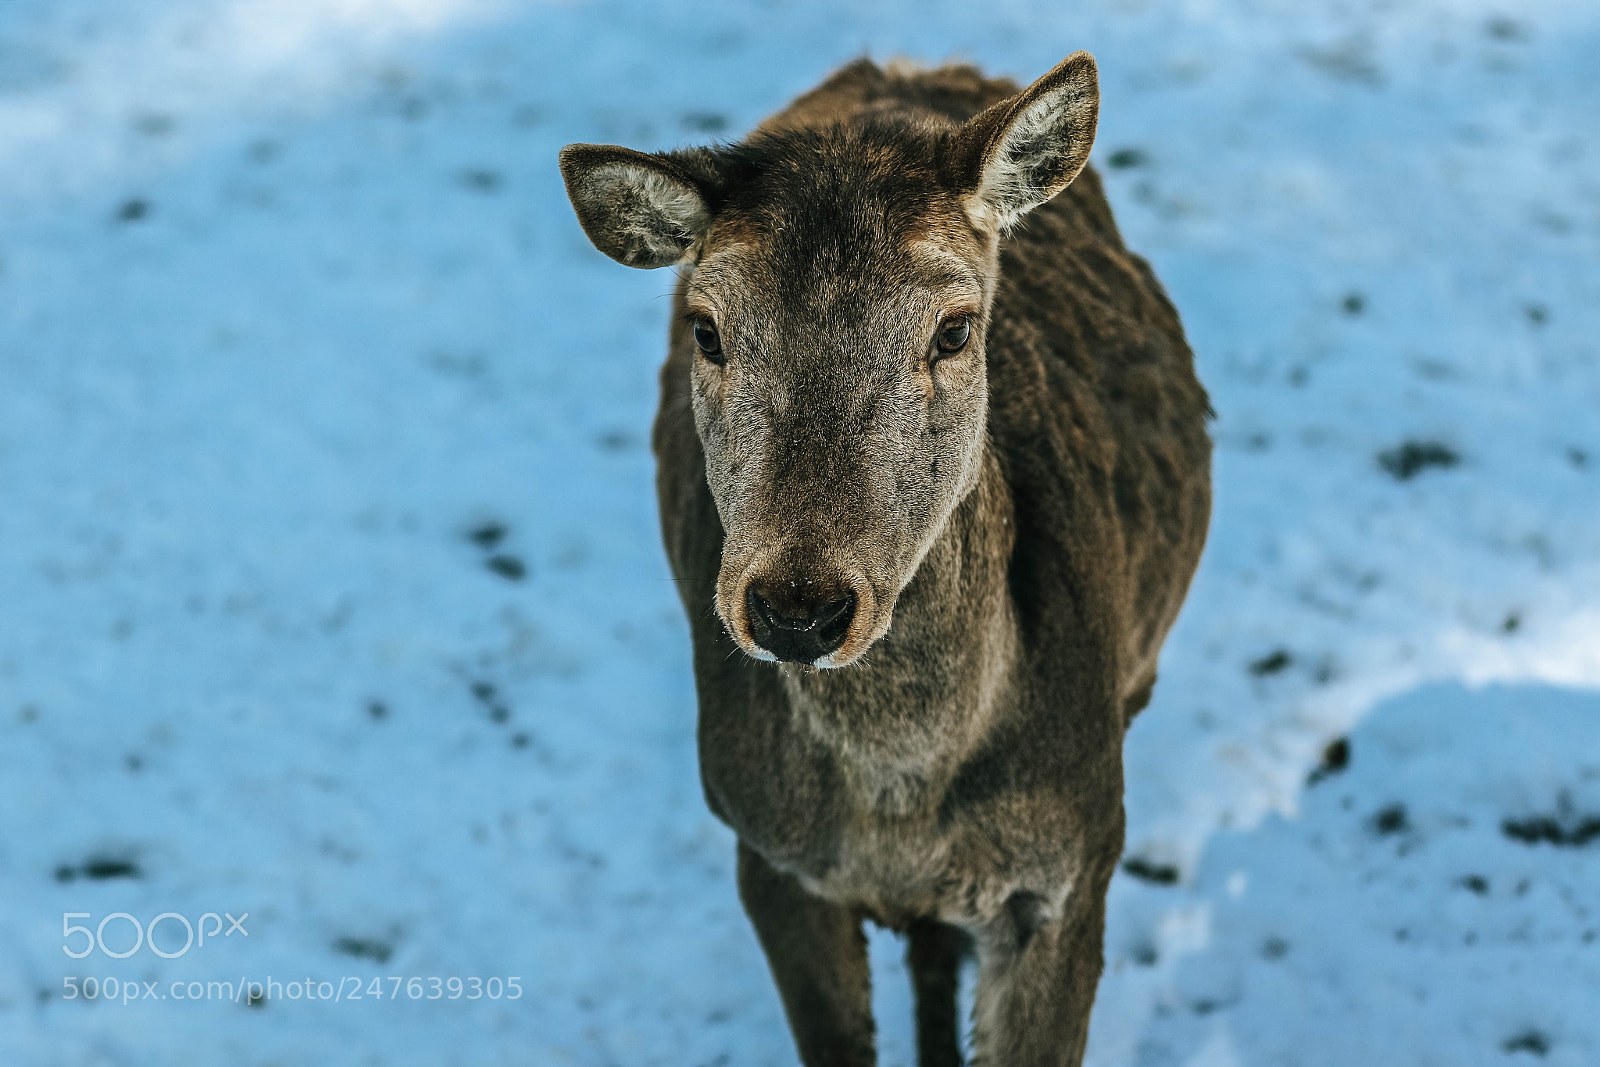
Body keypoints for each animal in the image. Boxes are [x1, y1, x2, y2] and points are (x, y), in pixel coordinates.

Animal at [559, 49, 1212, 1067]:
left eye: (954, 329)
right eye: (706, 329)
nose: (799, 605)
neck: (901, 801)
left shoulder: (1076, 856)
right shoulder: (765, 845)